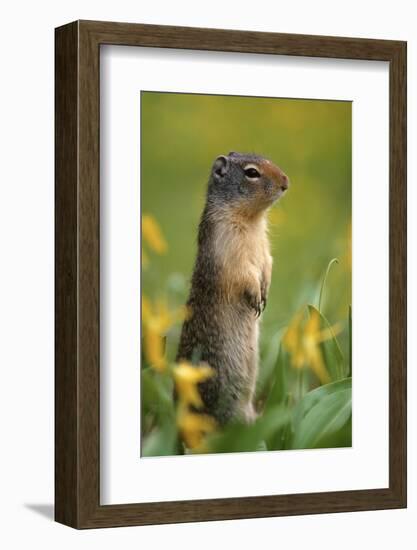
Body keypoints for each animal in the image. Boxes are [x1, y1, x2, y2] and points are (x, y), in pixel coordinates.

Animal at [174, 153, 288, 430]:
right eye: (252, 173)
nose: (286, 182)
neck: (251, 220)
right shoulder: (227, 247)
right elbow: (243, 273)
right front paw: (256, 296)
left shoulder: (264, 247)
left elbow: (267, 262)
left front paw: (265, 292)